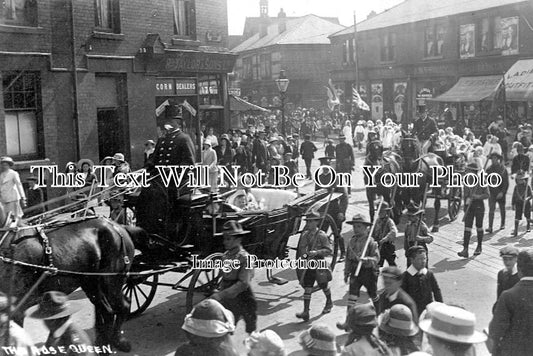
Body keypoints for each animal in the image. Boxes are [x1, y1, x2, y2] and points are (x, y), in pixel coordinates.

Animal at [0, 207, 135, 352]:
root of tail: (117, 226)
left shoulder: (17, 306)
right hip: (91, 283)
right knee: (106, 311)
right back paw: (102, 343)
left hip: (111, 281)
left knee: (122, 306)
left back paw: (118, 341)